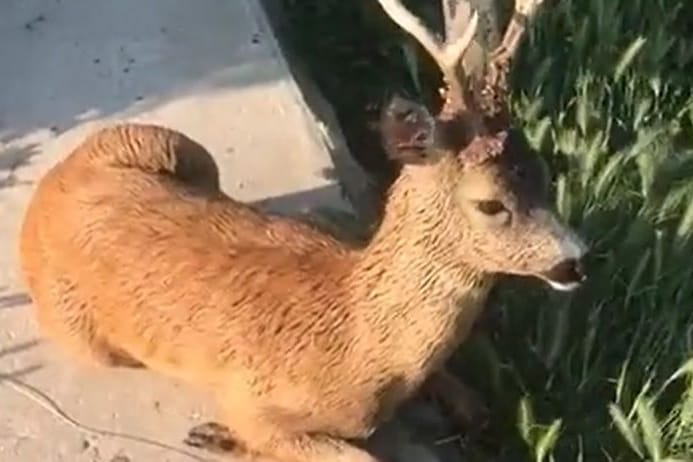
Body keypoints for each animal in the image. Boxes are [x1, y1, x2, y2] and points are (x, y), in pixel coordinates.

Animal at [17, 0, 584, 460]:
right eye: (491, 203)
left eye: (545, 175)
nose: (576, 259)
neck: (365, 347)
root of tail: (51, 185)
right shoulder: (256, 400)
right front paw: (220, 436)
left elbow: (478, 406)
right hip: (84, 332)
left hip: (172, 144)